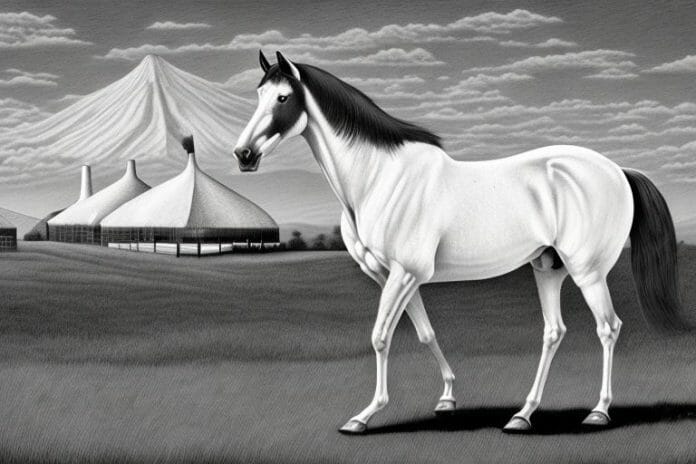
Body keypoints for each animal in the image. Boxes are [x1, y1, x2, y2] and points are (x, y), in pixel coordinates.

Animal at [233, 51, 688, 434]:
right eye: (257, 94)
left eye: (283, 97)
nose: (243, 155)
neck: (380, 178)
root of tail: (617, 169)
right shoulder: (394, 277)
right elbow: (425, 334)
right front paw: (448, 398)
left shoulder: (405, 274)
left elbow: (380, 337)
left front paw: (363, 416)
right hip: (548, 268)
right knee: (554, 331)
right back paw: (522, 415)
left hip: (587, 271)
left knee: (608, 328)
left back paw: (598, 411)